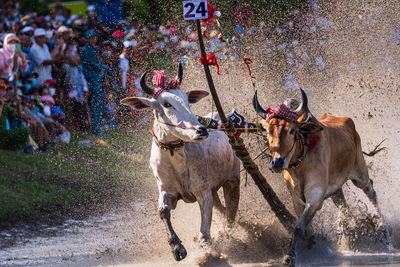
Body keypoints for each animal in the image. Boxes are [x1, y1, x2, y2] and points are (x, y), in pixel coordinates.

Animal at [120, 66, 239, 262]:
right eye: (167, 104)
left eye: (187, 101)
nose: (201, 130)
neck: (175, 155)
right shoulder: (166, 190)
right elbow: (163, 211)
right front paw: (177, 248)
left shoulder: (203, 191)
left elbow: (205, 227)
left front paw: (205, 249)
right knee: (222, 208)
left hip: (232, 180)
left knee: (231, 210)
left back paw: (229, 235)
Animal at [255, 89, 386, 266]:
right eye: (269, 131)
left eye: (291, 130)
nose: (277, 162)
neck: (302, 162)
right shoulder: (297, 198)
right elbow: (305, 225)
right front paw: (310, 243)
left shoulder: (316, 194)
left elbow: (298, 226)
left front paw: (291, 256)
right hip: (336, 188)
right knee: (343, 205)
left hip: (359, 173)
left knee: (371, 191)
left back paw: (382, 228)